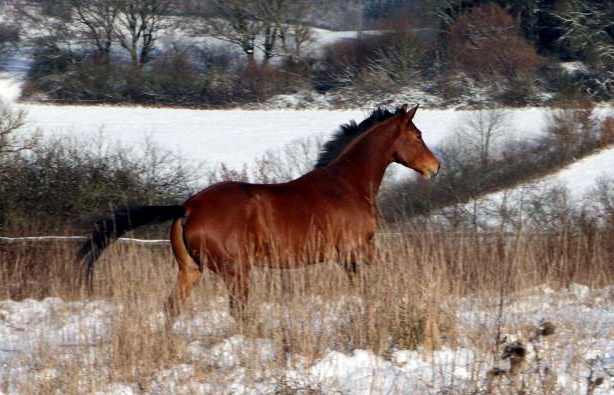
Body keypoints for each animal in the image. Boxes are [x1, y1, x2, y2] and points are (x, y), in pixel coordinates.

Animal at [77, 104, 440, 322]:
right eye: (417, 135)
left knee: (172, 307)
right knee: (237, 311)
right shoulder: (353, 250)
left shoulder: (358, 250)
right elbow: (372, 283)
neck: (346, 184)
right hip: (237, 271)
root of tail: (188, 207)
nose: (435, 167)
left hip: (191, 270)